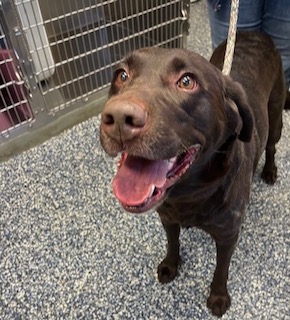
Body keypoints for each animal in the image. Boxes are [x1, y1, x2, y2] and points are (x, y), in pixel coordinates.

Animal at [99, 31, 286, 316]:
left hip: (276, 115)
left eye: (187, 81)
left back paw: (269, 171)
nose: (119, 117)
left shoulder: (228, 234)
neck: (189, 193)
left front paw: (218, 296)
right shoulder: (167, 217)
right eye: (121, 75)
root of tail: (255, 33)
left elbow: (221, 269)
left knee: (272, 145)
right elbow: (172, 242)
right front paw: (170, 265)